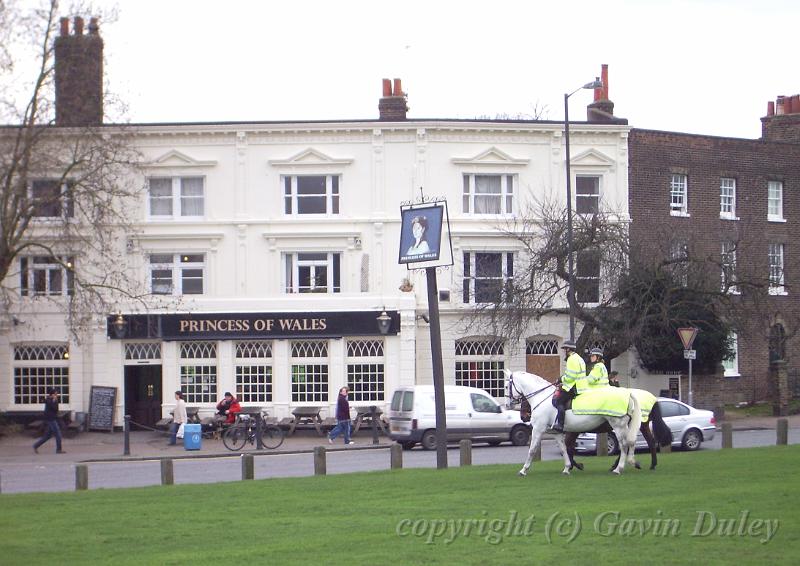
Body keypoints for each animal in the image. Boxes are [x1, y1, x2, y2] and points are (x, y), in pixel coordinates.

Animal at [506, 370, 644, 478]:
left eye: (507, 386)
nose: (508, 405)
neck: (542, 398)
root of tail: (627, 393)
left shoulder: (538, 429)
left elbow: (532, 450)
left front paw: (523, 470)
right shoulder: (556, 433)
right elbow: (563, 450)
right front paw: (567, 468)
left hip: (618, 425)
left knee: (624, 445)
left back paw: (618, 468)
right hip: (624, 426)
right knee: (631, 442)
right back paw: (632, 462)